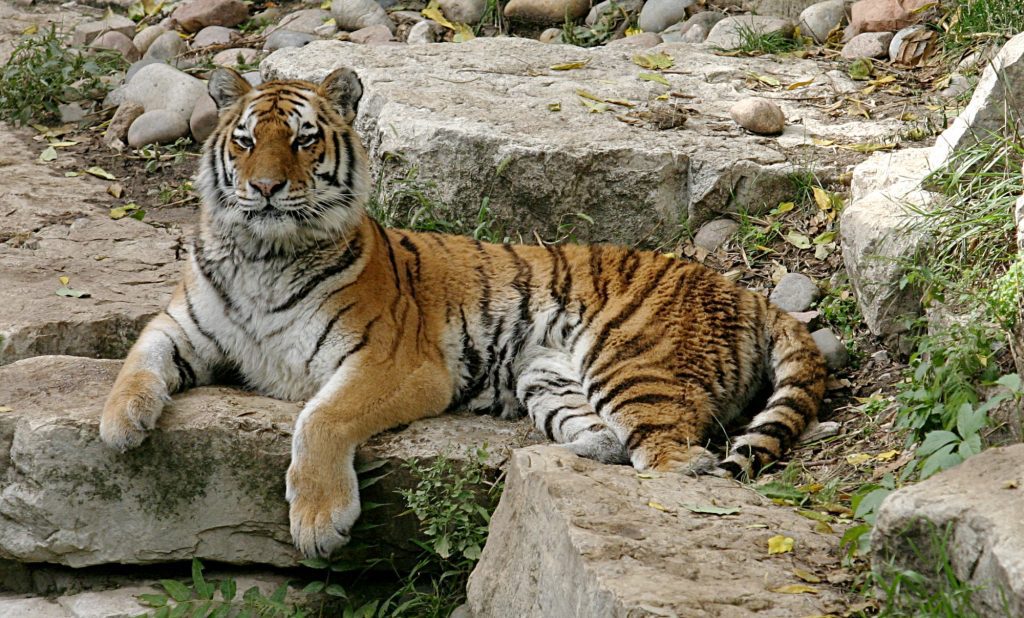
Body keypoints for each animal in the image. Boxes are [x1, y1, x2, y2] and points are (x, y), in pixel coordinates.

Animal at [100, 66, 828, 560]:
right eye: (247, 141)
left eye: (305, 140)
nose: (266, 188)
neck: (263, 254)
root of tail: (749, 292)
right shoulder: (185, 326)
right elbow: (137, 359)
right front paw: (120, 425)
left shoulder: (394, 363)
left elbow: (320, 419)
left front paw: (318, 521)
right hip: (547, 374)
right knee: (611, 441)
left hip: (630, 360)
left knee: (679, 460)